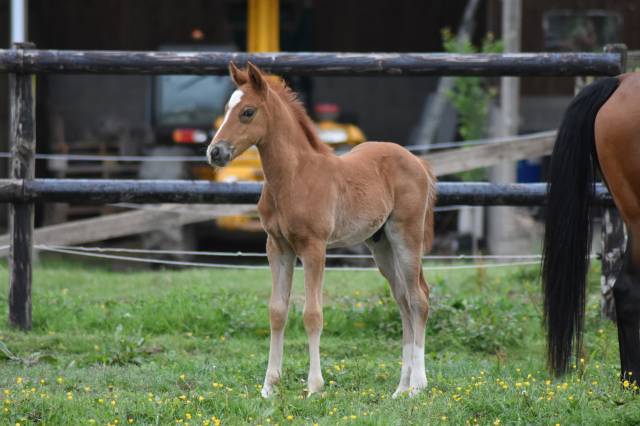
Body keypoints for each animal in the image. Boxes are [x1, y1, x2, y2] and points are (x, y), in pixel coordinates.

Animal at [206, 62, 437, 398]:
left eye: (248, 112)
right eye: (226, 109)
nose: (215, 152)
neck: (293, 177)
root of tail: (418, 162)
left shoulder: (313, 247)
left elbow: (312, 314)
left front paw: (314, 386)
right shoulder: (277, 247)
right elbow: (277, 311)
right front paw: (269, 386)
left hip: (406, 236)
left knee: (418, 298)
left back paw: (418, 385)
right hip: (381, 245)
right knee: (403, 300)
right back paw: (400, 389)